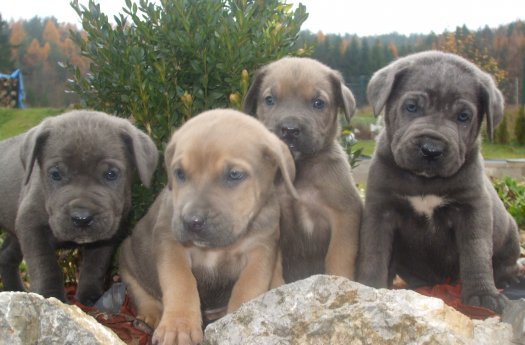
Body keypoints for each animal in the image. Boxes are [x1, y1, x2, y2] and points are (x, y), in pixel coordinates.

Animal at [0, 111, 158, 304]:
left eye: (111, 174)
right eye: (55, 174)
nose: (82, 217)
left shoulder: (108, 234)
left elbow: (95, 265)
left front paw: (90, 296)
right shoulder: (31, 226)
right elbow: (45, 265)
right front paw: (51, 295)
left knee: (6, 256)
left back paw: (15, 289)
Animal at [120, 109, 296, 344]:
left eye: (234, 174)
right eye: (179, 173)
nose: (192, 222)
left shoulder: (261, 251)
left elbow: (247, 288)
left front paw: (238, 321)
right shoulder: (170, 243)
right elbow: (181, 282)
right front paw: (178, 327)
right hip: (127, 256)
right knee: (143, 293)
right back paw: (150, 317)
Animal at [244, 56, 362, 282]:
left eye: (318, 103)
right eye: (269, 100)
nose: (290, 130)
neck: (298, 170)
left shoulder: (344, 217)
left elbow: (338, 259)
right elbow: (275, 272)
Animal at [356, 50, 520, 312]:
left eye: (463, 116)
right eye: (411, 107)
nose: (431, 149)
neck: (425, 181)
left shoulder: (472, 209)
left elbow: (476, 253)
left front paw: (483, 295)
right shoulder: (381, 209)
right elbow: (374, 251)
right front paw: (370, 286)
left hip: (510, 231)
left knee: (506, 262)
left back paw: (508, 280)